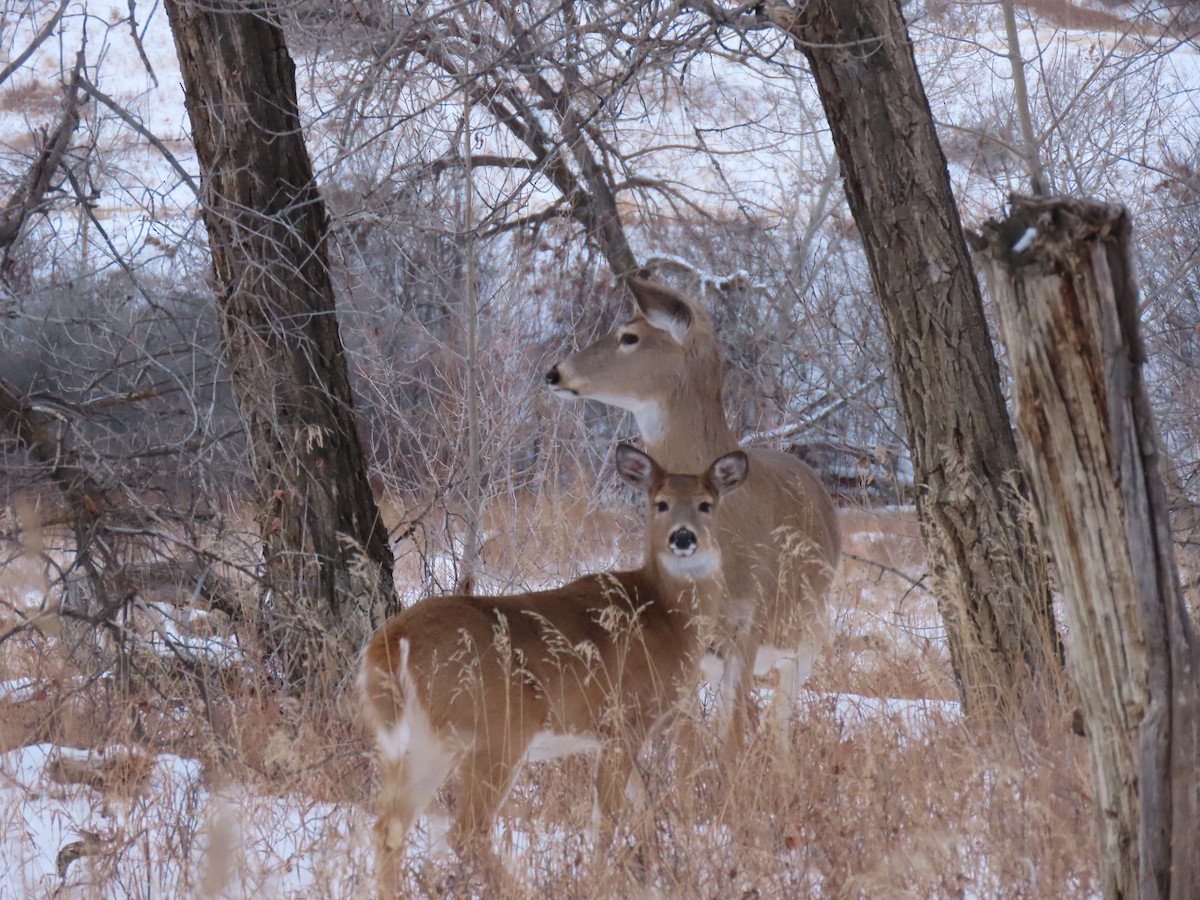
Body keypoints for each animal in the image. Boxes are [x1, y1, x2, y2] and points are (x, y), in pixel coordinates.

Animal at [358, 444, 747, 893]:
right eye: (661, 503)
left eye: (705, 504)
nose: (683, 537)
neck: (667, 616)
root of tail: (392, 642)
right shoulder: (623, 719)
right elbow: (608, 819)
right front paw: (602, 879)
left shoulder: (624, 731)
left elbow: (645, 809)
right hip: (496, 731)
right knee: (465, 831)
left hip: (423, 742)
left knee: (388, 829)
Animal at [545, 274, 841, 751]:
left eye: (630, 336)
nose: (555, 372)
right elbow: (688, 740)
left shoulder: (748, 625)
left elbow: (732, 736)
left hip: (811, 630)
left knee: (778, 723)